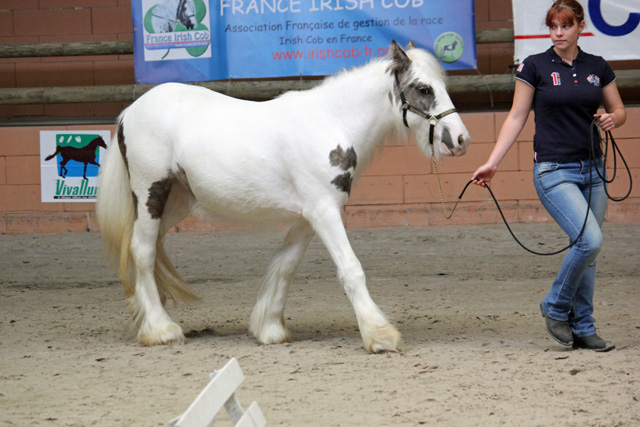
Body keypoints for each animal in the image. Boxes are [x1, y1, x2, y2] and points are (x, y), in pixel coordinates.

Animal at [97, 41, 472, 354]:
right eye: (423, 88)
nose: (460, 139)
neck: (331, 121)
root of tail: (129, 112)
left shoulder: (309, 217)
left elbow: (285, 267)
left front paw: (269, 328)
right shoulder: (324, 212)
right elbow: (351, 269)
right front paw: (380, 335)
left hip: (174, 202)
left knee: (146, 248)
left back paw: (147, 314)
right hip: (151, 193)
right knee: (143, 251)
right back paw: (160, 329)